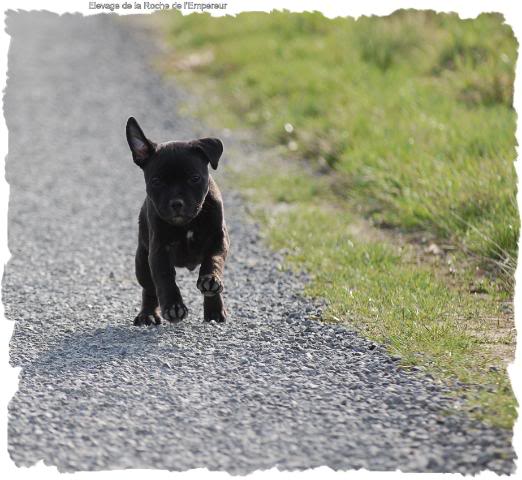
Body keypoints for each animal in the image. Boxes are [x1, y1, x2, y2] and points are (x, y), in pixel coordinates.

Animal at [125, 117, 228, 324]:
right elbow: (165, 279)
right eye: (156, 182)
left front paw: (210, 279)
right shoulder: (158, 251)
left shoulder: (218, 239)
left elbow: (214, 259)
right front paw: (174, 307)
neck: (187, 224)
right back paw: (148, 314)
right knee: (149, 288)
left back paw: (214, 310)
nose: (176, 203)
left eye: (195, 178)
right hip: (142, 261)